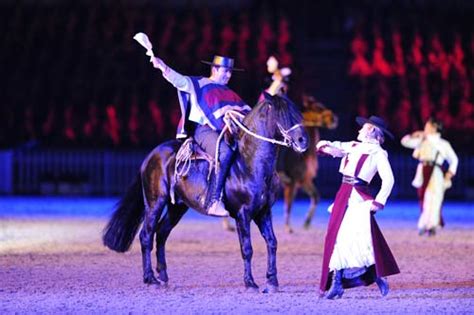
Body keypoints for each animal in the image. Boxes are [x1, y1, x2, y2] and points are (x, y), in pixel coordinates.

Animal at [102, 94, 308, 294]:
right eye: (282, 115)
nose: (303, 141)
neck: (251, 164)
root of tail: (151, 155)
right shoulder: (243, 214)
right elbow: (247, 248)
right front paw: (250, 283)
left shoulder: (263, 212)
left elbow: (272, 243)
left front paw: (272, 282)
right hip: (154, 203)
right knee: (146, 235)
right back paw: (150, 279)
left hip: (176, 208)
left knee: (161, 233)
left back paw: (164, 277)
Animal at [276, 96, 338, 235]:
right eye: (318, 108)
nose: (334, 119)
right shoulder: (292, 182)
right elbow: (289, 204)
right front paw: (288, 227)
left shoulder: (304, 180)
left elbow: (316, 197)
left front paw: (307, 222)